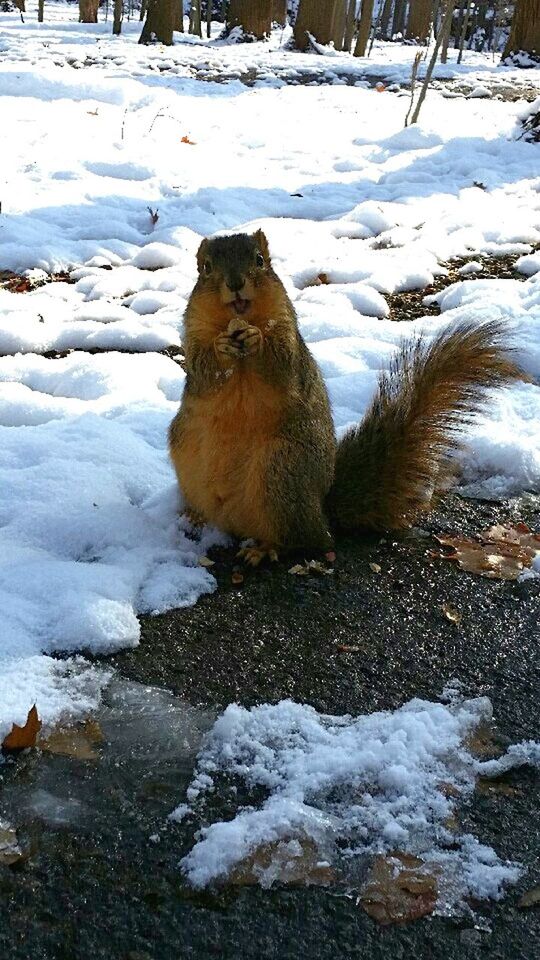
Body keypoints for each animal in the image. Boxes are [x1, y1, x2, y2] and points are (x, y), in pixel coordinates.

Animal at [170, 230, 524, 568]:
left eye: (260, 260)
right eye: (206, 268)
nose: (235, 284)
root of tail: (322, 509)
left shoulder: (288, 336)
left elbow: (281, 365)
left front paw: (257, 339)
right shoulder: (194, 335)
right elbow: (204, 372)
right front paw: (221, 348)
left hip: (281, 471)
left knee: (305, 539)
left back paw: (266, 548)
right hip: (188, 455)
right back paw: (193, 517)